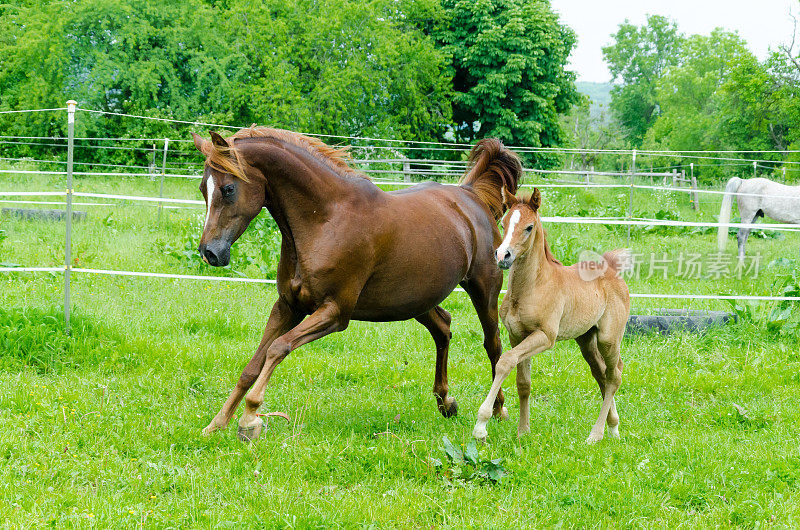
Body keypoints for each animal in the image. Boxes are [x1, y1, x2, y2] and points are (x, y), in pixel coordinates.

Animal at [191, 127, 520, 438]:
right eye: (203, 188)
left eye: (228, 188)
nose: (210, 253)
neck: (325, 219)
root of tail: (471, 195)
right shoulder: (287, 307)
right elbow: (252, 366)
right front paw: (217, 424)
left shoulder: (335, 313)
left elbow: (277, 348)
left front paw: (249, 418)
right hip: (416, 300)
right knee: (443, 328)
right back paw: (446, 402)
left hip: (483, 289)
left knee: (493, 344)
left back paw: (498, 410)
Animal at [468, 190, 632, 442]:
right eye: (503, 223)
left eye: (529, 227)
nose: (502, 255)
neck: (533, 286)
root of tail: (613, 270)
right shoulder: (517, 335)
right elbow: (523, 382)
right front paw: (523, 431)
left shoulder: (545, 336)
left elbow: (505, 362)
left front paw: (481, 425)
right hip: (586, 339)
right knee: (602, 373)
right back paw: (613, 427)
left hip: (608, 338)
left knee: (615, 376)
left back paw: (596, 434)